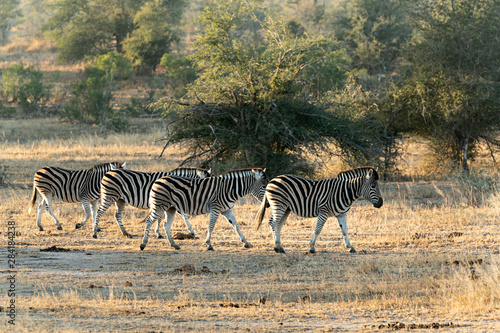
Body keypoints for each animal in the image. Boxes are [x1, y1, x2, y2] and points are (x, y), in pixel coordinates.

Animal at [139, 167, 268, 250]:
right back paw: (143, 244)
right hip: (159, 206)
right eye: (264, 186)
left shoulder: (227, 210)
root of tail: (158, 179)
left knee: (166, 225)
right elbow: (211, 226)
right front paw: (209, 244)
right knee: (149, 221)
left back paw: (174, 245)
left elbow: (236, 226)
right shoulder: (215, 208)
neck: (229, 189)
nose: (267, 204)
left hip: (170, 208)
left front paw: (246, 242)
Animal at [256, 167, 384, 253]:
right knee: (273, 222)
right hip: (279, 205)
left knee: (278, 224)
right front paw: (312, 248)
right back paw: (277, 247)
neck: (344, 192)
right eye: (373, 186)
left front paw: (350, 247)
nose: (381, 203)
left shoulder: (342, 214)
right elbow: (318, 229)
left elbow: (345, 231)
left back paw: (280, 247)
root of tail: (272, 180)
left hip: (286, 208)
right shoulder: (323, 211)